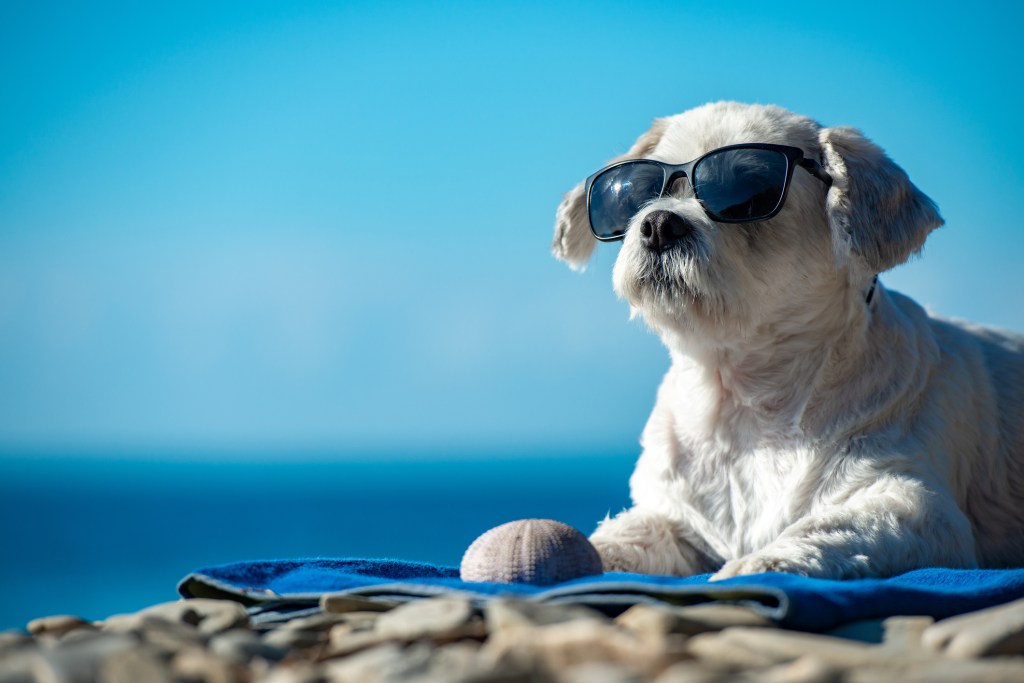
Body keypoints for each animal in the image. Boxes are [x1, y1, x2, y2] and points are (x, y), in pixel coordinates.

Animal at [552, 102, 1024, 581]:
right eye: (637, 193)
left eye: (745, 192)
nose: (659, 223)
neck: (744, 407)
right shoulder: (677, 522)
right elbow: (619, 538)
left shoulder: (917, 508)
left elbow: (826, 528)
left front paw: (754, 565)